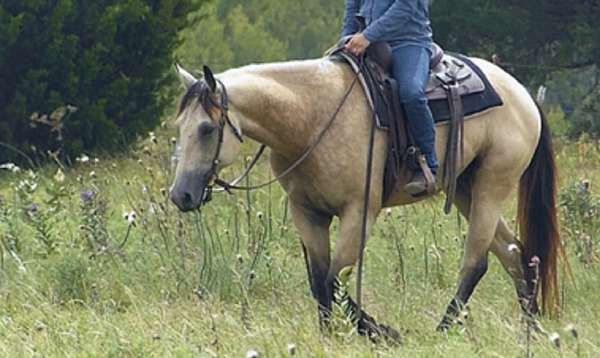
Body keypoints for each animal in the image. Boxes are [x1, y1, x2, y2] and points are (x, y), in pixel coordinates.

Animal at [169, 49, 564, 338]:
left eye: (206, 129)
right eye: (180, 126)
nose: (180, 196)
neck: (311, 119)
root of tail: (523, 94)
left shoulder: (359, 212)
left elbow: (334, 282)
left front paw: (382, 331)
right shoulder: (306, 212)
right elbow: (319, 283)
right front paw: (329, 335)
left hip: (491, 185)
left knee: (477, 262)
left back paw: (442, 329)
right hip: (466, 187)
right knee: (515, 254)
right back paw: (529, 329)